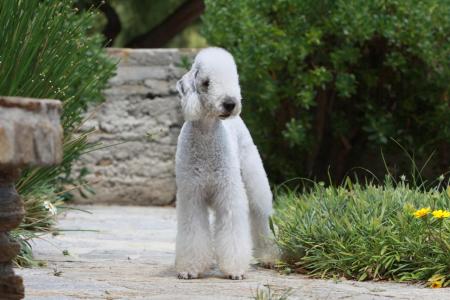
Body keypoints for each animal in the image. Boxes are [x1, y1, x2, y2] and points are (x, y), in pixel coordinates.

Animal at [175, 48, 274, 280]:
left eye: (234, 79)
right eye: (206, 82)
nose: (230, 103)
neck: (207, 133)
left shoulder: (228, 192)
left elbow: (233, 230)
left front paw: (235, 270)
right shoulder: (192, 194)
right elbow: (193, 231)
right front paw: (190, 269)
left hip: (254, 178)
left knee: (261, 215)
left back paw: (269, 257)